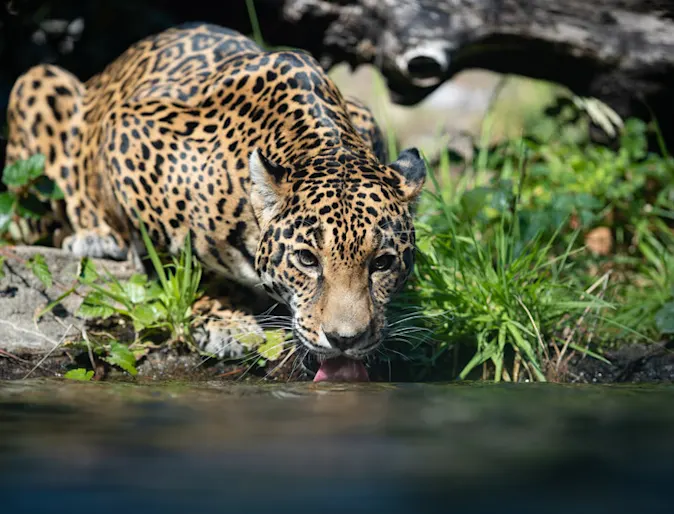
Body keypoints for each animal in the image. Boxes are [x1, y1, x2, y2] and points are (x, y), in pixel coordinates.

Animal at [5, 23, 427, 381]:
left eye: (382, 263)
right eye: (307, 260)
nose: (345, 340)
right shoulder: (127, 132)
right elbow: (186, 255)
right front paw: (226, 320)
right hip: (37, 81)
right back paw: (97, 237)